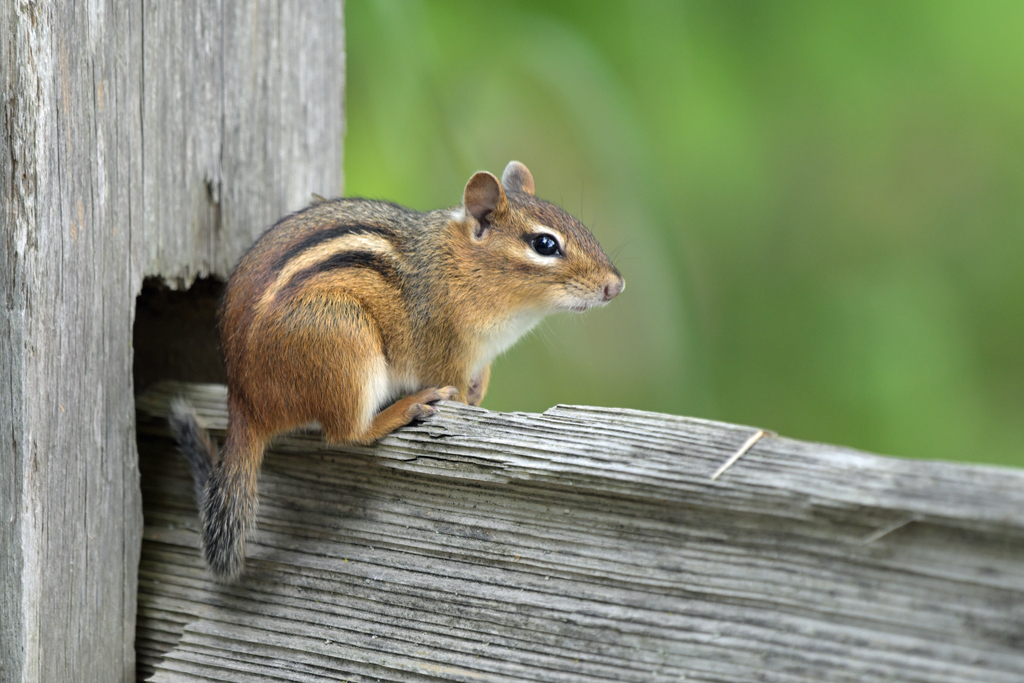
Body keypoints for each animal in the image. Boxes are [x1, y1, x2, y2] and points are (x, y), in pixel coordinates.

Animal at [169, 161, 624, 580]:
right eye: (544, 244)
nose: (615, 286)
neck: (462, 267)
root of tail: (244, 402)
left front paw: (482, 386)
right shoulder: (446, 352)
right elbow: (456, 391)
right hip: (345, 341)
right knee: (347, 433)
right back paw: (404, 409)